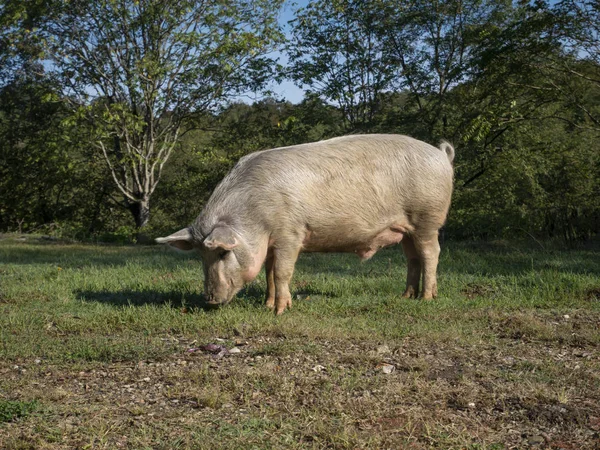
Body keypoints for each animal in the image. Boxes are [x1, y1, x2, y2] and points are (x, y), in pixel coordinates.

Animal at [157, 134, 452, 316]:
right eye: (200, 254)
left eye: (222, 252)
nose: (208, 299)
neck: (256, 217)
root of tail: (442, 155)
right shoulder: (271, 243)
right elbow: (268, 273)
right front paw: (267, 305)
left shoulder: (290, 234)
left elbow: (282, 273)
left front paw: (280, 311)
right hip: (406, 230)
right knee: (413, 259)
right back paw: (406, 297)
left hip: (428, 218)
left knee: (431, 254)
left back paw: (426, 299)